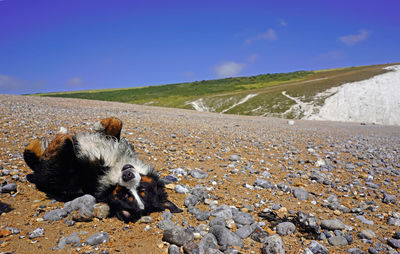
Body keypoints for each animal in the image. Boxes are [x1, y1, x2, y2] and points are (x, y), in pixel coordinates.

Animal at [22, 117, 182, 222]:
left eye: (125, 195)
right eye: (141, 188)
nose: (128, 175)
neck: (111, 170)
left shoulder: (67, 176)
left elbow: (63, 146)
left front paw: (60, 137)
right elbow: (117, 123)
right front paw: (101, 124)